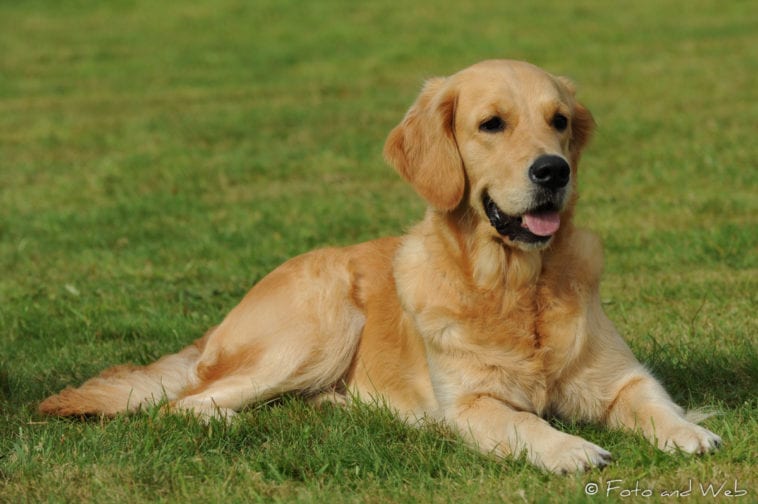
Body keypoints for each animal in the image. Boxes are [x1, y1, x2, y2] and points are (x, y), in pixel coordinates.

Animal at [38, 59, 720, 472]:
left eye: (558, 121)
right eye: (491, 124)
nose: (554, 171)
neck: (515, 286)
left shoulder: (620, 376)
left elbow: (653, 400)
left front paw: (688, 432)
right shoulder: (471, 404)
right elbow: (526, 424)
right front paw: (571, 447)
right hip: (320, 325)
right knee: (187, 402)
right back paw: (234, 423)